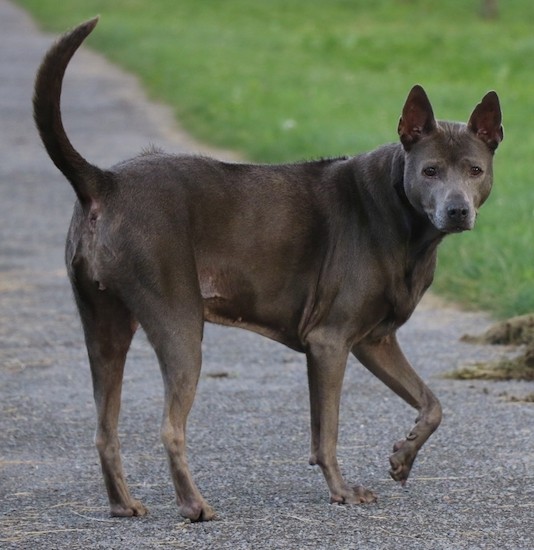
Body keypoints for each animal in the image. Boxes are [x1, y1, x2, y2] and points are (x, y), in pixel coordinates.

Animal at [32, 20, 502, 520]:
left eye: (474, 170)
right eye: (430, 171)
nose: (457, 211)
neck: (401, 214)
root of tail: (105, 182)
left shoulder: (374, 342)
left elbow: (432, 404)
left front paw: (403, 456)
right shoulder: (329, 341)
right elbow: (328, 431)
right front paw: (342, 491)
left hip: (104, 324)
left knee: (104, 429)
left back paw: (124, 505)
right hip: (179, 325)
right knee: (170, 427)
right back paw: (194, 506)